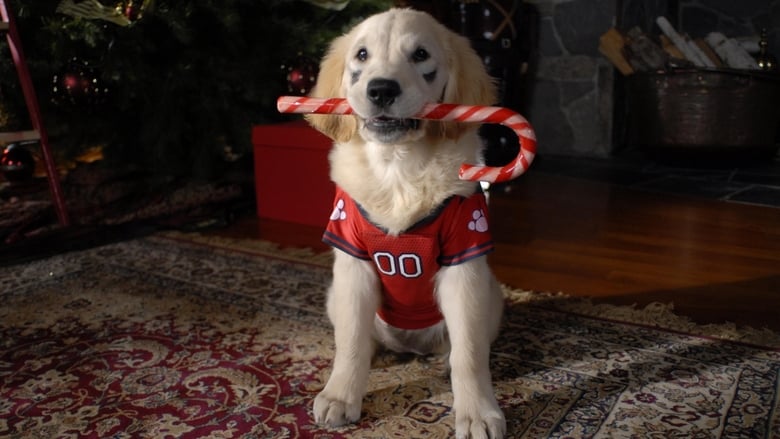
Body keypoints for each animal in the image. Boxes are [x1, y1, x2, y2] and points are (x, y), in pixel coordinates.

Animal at [304, 7, 506, 439]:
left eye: (420, 55)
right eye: (362, 55)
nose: (381, 90)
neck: (398, 170)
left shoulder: (465, 260)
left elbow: (469, 352)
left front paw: (477, 413)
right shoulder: (352, 262)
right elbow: (350, 341)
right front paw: (341, 396)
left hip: (492, 296)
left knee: (462, 346)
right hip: (334, 295)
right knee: (361, 336)